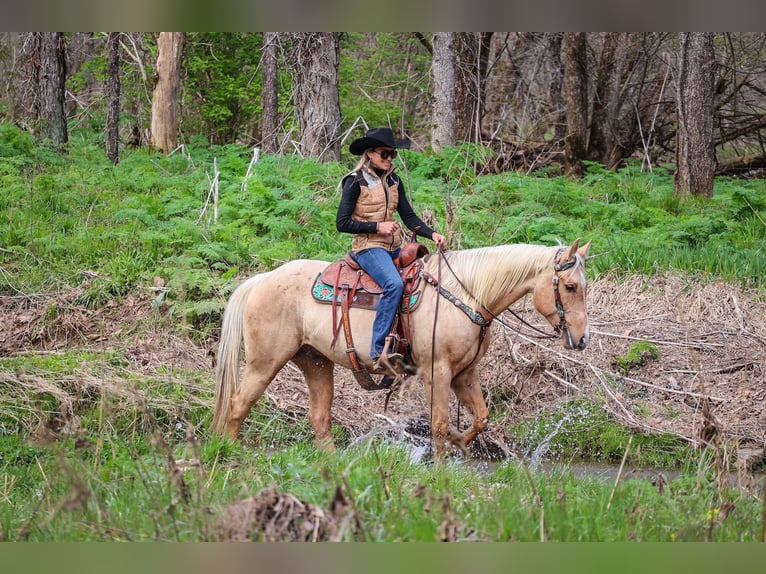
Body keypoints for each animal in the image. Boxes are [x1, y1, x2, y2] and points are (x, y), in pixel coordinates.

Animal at [213, 238, 592, 460]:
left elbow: (481, 418)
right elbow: (438, 423)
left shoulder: (465, 374)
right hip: (265, 362)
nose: (582, 339)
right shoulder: (437, 371)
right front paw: (441, 469)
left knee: (319, 418)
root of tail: (262, 279)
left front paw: (459, 441)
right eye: (570, 286)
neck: (466, 295)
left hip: (316, 363)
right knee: (238, 404)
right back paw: (229, 452)